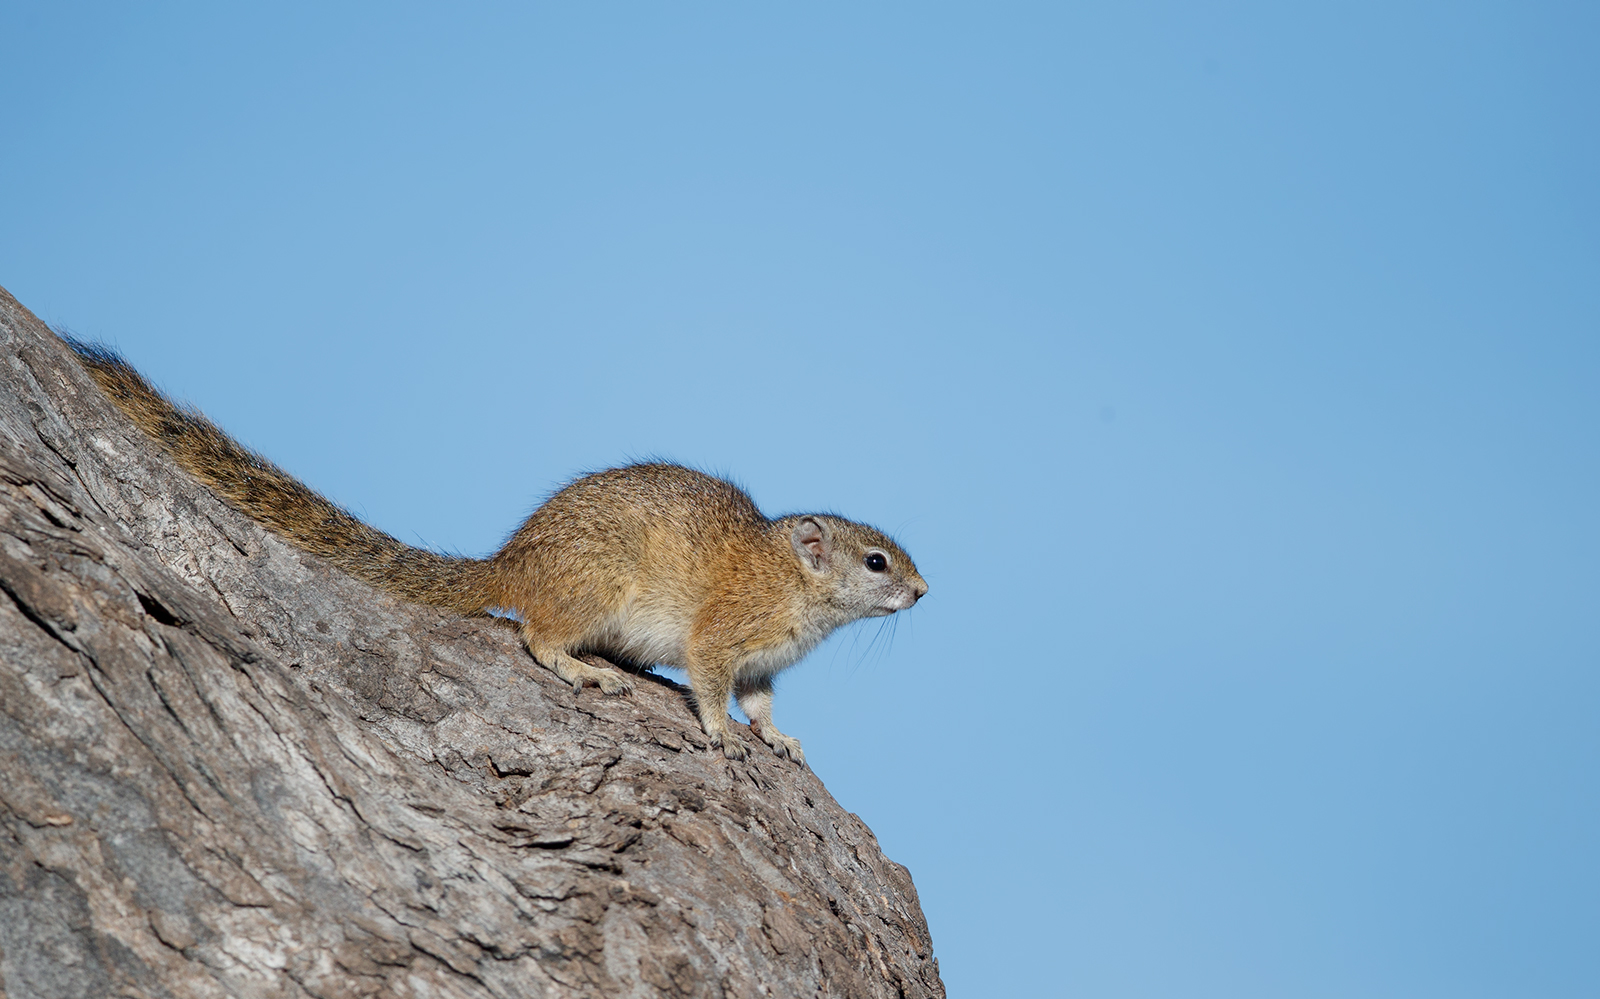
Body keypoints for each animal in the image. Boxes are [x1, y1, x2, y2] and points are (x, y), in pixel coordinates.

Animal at [64, 338, 927, 764]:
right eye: (877, 562)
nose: (925, 591)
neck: (794, 584)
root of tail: (511, 563)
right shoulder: (723, 635)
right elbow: (713, 686)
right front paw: (717, 732)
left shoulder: (765, 666)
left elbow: (764, 703)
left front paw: (778, 738)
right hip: (595, 589)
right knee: (537, 636)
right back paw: (581, 668)